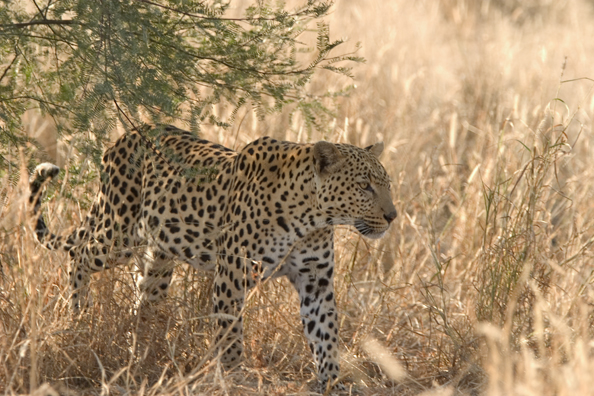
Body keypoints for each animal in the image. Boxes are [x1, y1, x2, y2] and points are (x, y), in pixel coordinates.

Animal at [30, 124, 396, 390]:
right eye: (364, 186)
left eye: (387, 184)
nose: (392, 216)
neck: (311, 217)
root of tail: (125, 135)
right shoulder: (233, 272)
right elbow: (230, 332)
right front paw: (233, 377)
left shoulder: (315, 280)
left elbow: (325, 333)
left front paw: (331, 381)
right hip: (117, 233)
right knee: (77, 254)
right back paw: (78, 316)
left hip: (157, 261)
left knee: (144, 302)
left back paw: (141, 350)